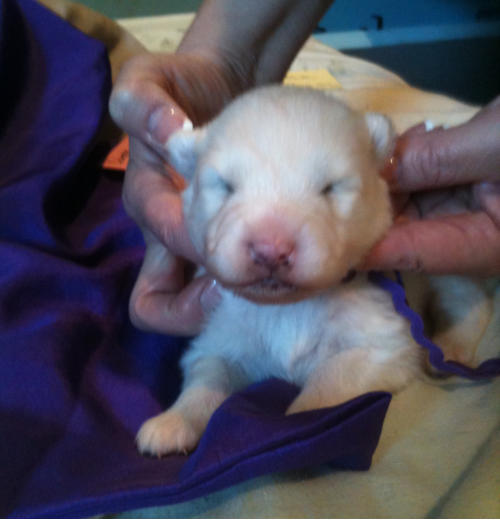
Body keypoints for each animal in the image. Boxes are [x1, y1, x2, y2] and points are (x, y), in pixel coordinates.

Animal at [136, 86, 423, 457]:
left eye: (330, 187)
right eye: (225, 186)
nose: (271, 250)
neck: (285, 307)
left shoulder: (382, 341)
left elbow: (332, 380)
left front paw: (298, 423)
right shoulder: (221, 333)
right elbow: (207, 374)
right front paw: (171, 423)